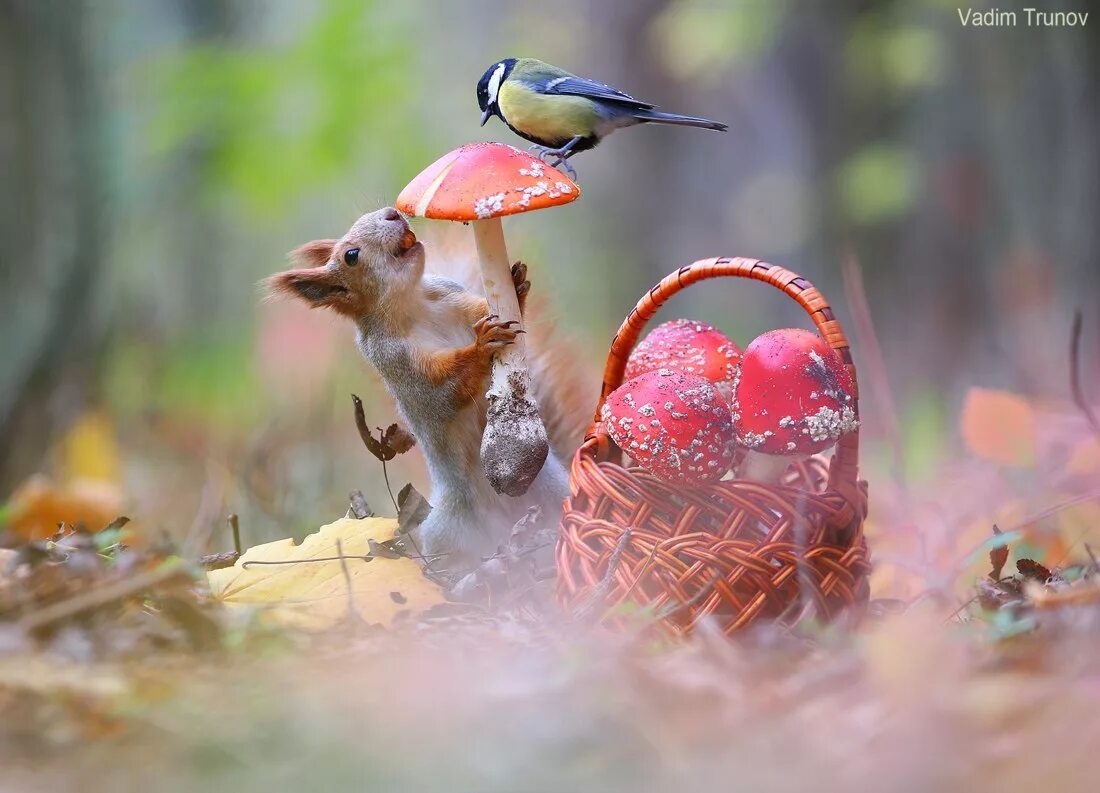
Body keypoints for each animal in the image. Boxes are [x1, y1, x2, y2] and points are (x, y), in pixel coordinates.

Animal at [266, 206, 594, 571]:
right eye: (351, 256)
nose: (392, 213)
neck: (415, 305)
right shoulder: (399, 364)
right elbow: (442, 394)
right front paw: (480, 348)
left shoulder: (455, 297)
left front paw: (517, 284)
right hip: (446, 533)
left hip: (555, 492)